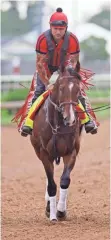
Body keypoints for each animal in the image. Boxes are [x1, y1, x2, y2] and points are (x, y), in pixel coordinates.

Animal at [30, 67, 82, 221]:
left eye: (78, 89)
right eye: (61, 88)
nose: (70, 118)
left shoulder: (71, 152)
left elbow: (65, 180)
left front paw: (60, 211)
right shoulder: (44, 153)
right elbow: (51, 184)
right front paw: (52, 215)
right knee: (49, 179)